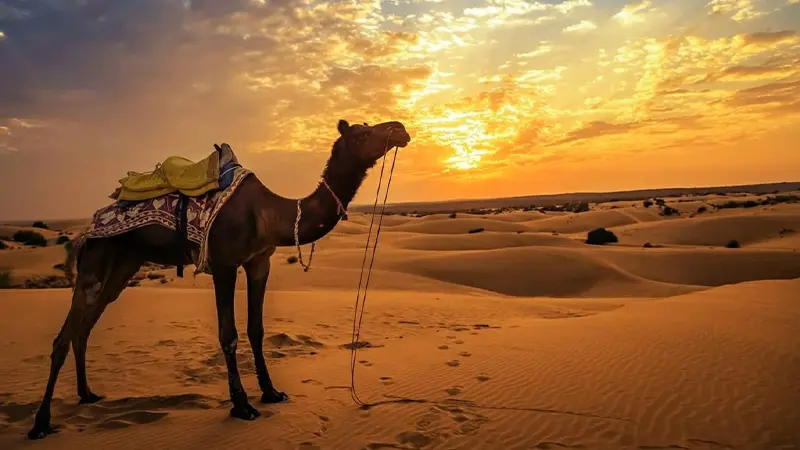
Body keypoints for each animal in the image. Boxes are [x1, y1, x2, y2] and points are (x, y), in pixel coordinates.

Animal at [26, 119, 411, 440]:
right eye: (361, 134)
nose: (401, 129)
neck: (273, 212)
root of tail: (94, 219)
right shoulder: (224, 264)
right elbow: (229, 334)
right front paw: (241, 405)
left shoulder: (259, 262)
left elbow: (256, 329)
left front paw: (271, 392)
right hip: (98, 256)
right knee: (64, 336)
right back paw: (41, 423)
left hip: (125, 264)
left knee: (85, 327)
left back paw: (87, 395)